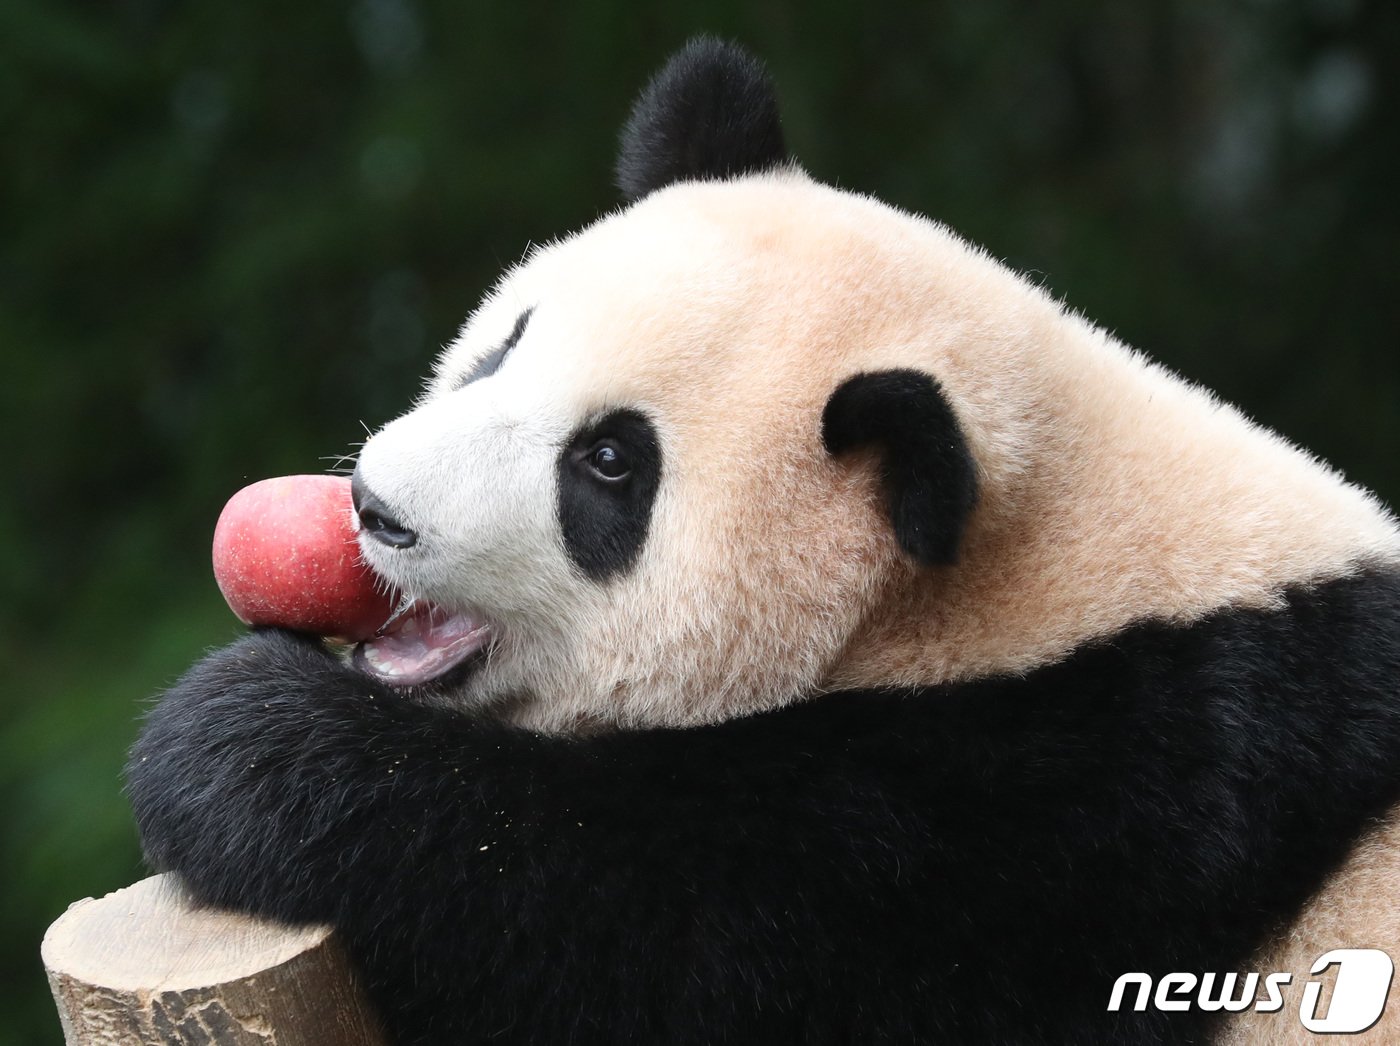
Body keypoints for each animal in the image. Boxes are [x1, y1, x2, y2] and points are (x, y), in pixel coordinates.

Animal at [126, 36, 1400, 1041]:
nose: (378, 506)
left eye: (608, 464)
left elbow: (655, 925)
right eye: (507, 342)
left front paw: (234, 739)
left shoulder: (1085, 811)